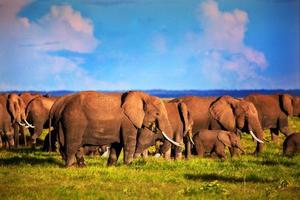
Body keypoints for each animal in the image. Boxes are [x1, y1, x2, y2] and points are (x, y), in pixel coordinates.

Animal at [48, 91, 179, 167]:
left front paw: (111, 166)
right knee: (73, 143)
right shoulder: (128, 122)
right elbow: (129, 143)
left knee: (77, 145)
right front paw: (129, 165)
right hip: (73, 121)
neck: (143, 95)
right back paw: (70, 167)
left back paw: (82, 166)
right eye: (157, 114)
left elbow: (117, 145)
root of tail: (62, 105)